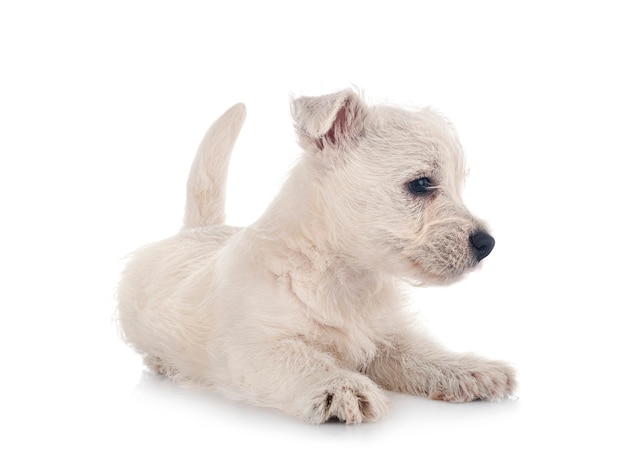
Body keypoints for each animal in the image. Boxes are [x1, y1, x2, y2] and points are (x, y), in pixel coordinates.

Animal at [116, 89, 512, 422]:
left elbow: (419, 353)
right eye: (421, 184)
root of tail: (195, 231)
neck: (342, 275)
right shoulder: (256, 348)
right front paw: (342, 386)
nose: (487, 243)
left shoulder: (384, 338)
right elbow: (302, 359)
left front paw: (467, 369)